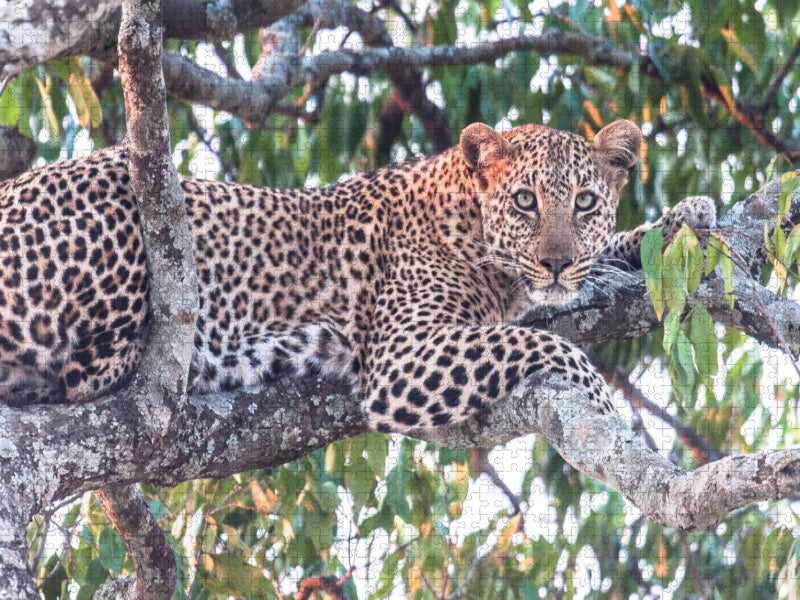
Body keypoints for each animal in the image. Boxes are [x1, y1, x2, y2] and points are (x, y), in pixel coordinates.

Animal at [0, 120, 715, 432]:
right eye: (524, 202)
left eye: (585, 203)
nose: (558, 262)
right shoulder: (404, 357)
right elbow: (542, 343)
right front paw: (610, 411)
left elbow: (602, 267)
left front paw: (686, 217)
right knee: (84, 374)